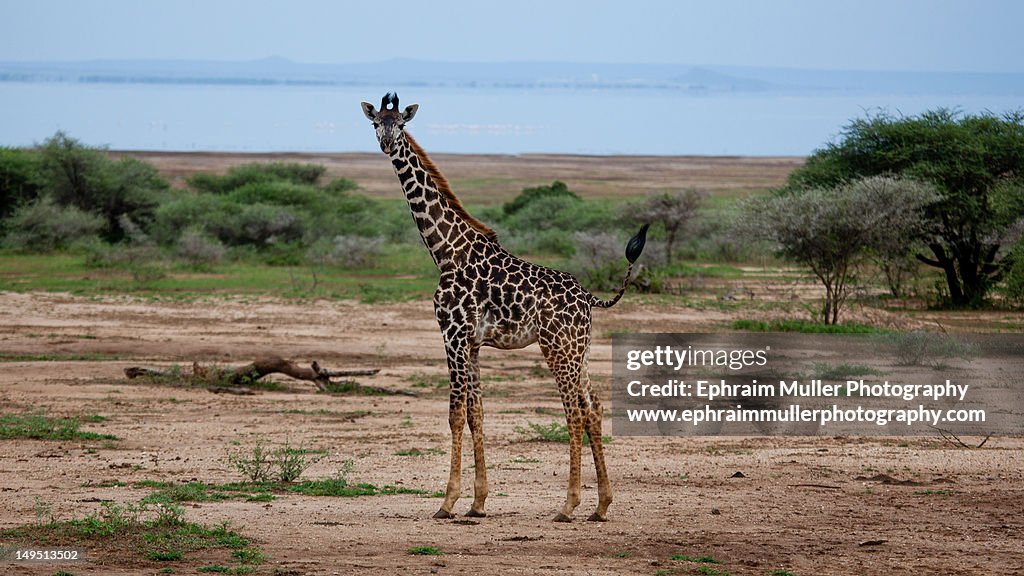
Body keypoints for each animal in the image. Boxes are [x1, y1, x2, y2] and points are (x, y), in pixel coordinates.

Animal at [362, 94, 647, 520]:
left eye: (401, 124)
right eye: (376, 122)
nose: (385, 144)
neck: (446, 251)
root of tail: (589, 297)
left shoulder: (453, 334)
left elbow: (454, 414)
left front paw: (447, 502)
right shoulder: (473, 342)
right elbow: (476, 414)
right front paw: (478, 502)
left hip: (557, 348)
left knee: (575, 412)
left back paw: (568, 505)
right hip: (580, 350)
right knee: (594, 408)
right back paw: (601, 505)